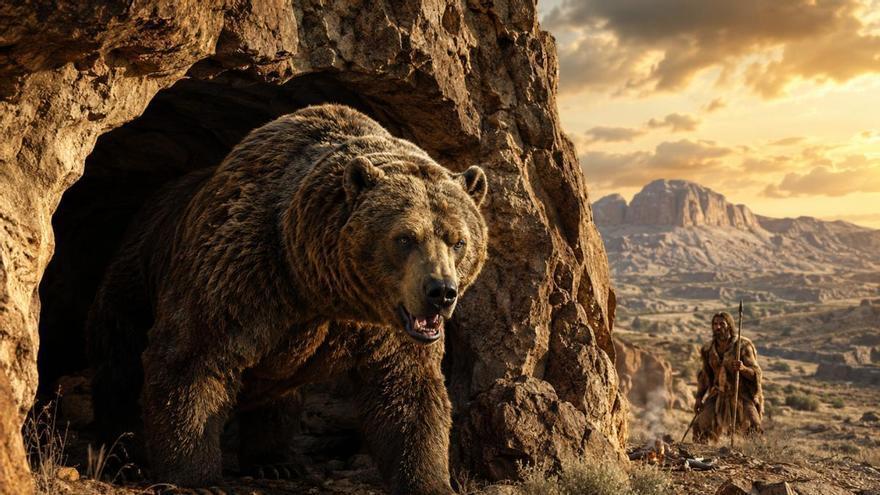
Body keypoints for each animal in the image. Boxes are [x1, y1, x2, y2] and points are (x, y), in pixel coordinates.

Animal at [86, 104, 489, 495]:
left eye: (458, 240)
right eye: (404, 238)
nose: (441, 292)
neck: (317, 285)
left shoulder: (382, 327)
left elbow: (408, 390)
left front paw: (430, 480)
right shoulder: (240, 274)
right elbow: (192, 358)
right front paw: (194, 480)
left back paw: (276, 461)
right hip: (136, 277)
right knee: (120, 365)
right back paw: (122, 455)